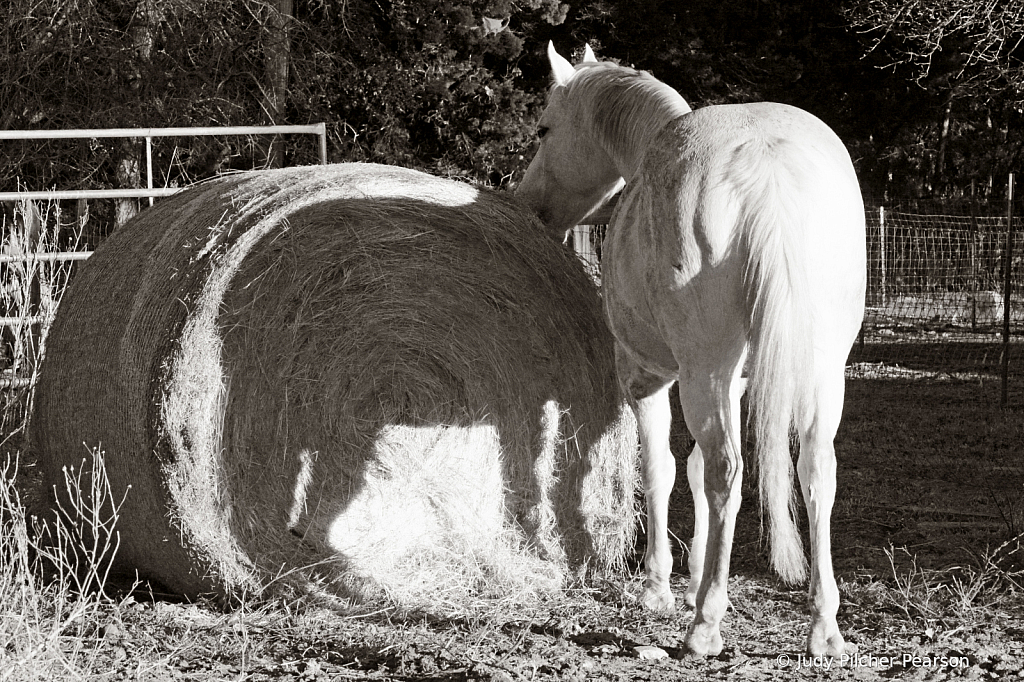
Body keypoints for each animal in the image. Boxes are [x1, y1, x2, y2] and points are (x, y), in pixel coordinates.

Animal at [520, 41, 864, 655]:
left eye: (544, 128)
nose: (531, 206)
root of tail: (765, 167)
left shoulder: (646, 378)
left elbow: (661, 470)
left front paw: (658, 587)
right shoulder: (736, 381)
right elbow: (697, 469)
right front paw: (697, 570)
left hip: (702, 373)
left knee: (729, 470)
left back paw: (706, 623)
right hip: (821, 372)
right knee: (814, 471)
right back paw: (823, 626)